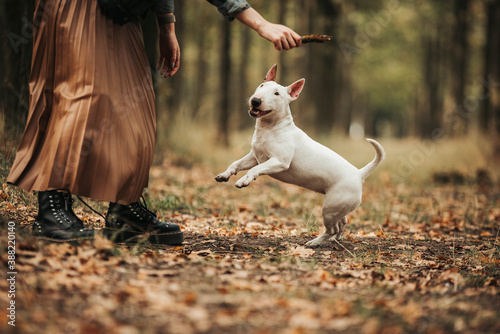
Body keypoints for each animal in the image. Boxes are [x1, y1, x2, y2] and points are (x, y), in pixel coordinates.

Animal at [214, 65, 382, 247]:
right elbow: (235, 164)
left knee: (332, 228)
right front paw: (224, 175)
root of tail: (359, 174)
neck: (270, 128)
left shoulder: (279, 162)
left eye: (277, 93)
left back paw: (315, 242)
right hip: (339, 207)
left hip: (330, 208)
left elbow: (255, 170)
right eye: (261, 86)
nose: (255, 100)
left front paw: (244, 180)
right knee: (342, 222)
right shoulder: (254, 156)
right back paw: (336, 239)